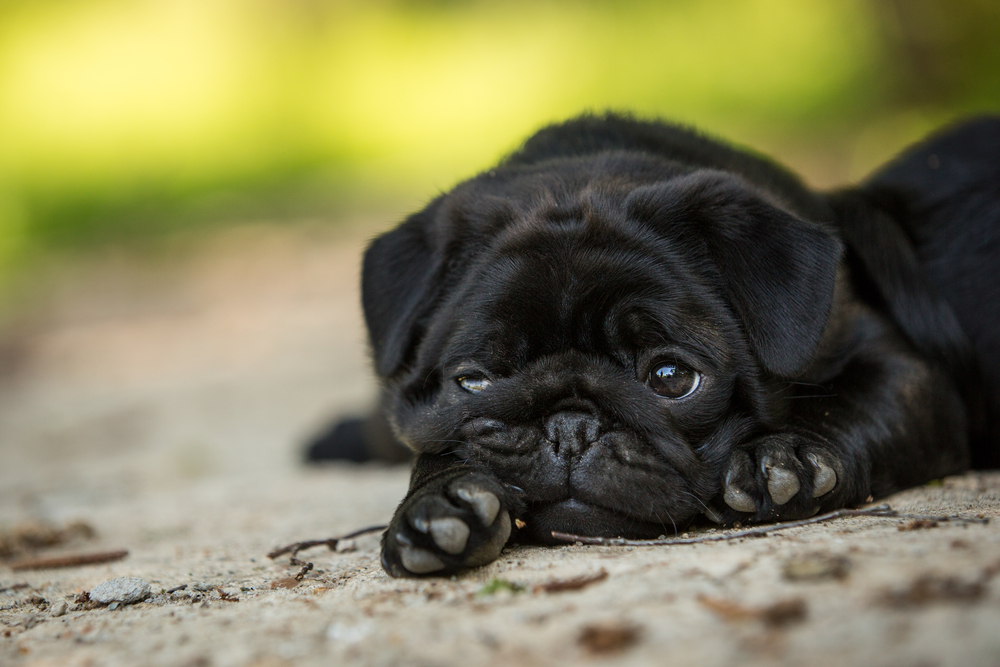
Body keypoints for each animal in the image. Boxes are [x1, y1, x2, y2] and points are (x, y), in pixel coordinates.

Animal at [308, 112, 996, 576]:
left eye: (671, 378)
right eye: (474, 381)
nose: (571, 426)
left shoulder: (904, 372)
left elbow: (846, 406)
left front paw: (791, 458)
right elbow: (435, 446)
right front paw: (439, 504)